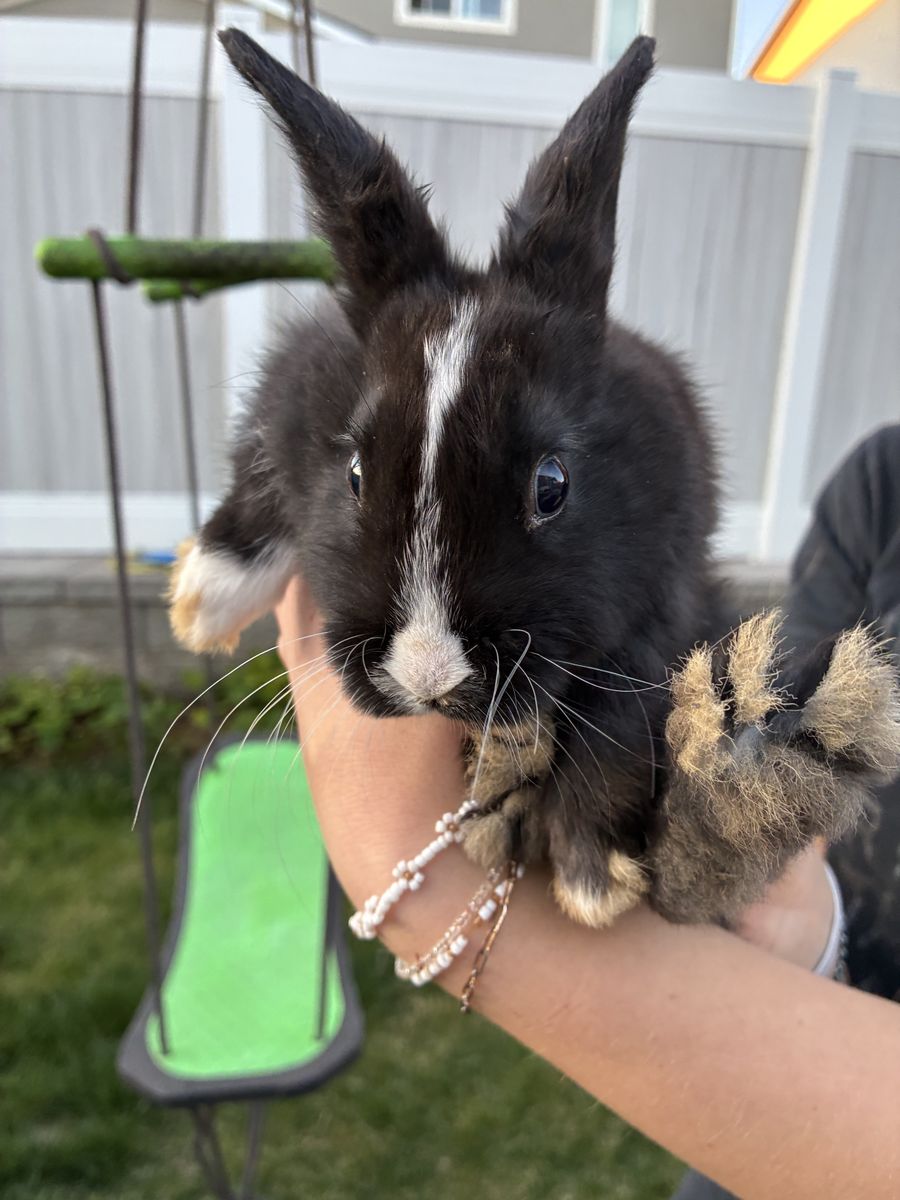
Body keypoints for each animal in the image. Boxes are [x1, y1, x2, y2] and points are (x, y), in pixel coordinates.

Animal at [170, 29, 900, 927]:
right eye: (353, 471)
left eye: (552, 485)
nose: (427, 675)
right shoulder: (292, 396)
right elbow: (265, 469)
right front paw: (206, 594)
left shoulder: (660, 605)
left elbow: (619, 711)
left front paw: (592, 878)